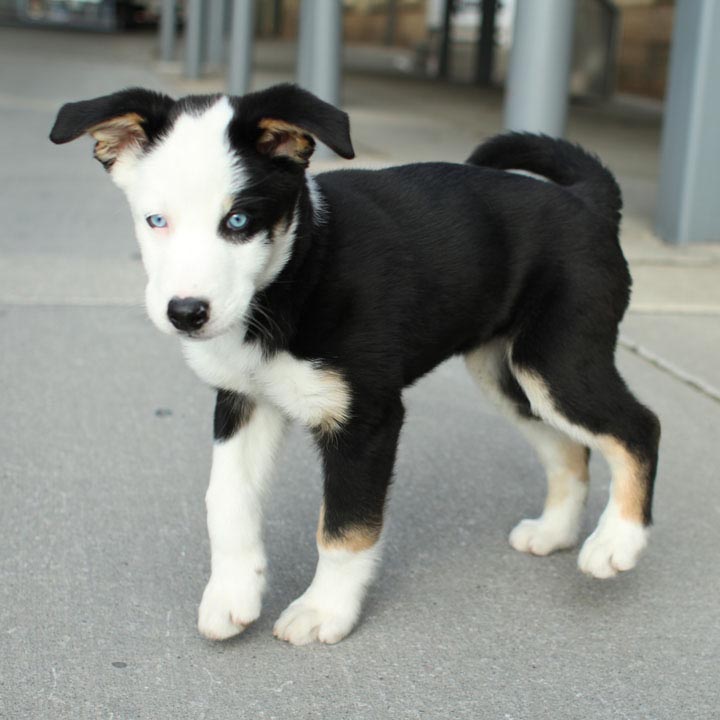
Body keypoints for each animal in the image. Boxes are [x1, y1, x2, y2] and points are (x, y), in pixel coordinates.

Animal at [49, 84, 660, 648]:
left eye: (240, 220)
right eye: (156, 220)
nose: (186, 313)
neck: (294, 277)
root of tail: (586, 201)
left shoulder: (366, 419)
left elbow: (344, 528)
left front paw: (324, 611)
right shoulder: (244, 400)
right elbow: (225, 500)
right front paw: (232, 594)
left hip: (556, 361)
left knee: (638, 428)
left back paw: (617, 541)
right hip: (507, 374)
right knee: (570, 448)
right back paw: (556, 532)